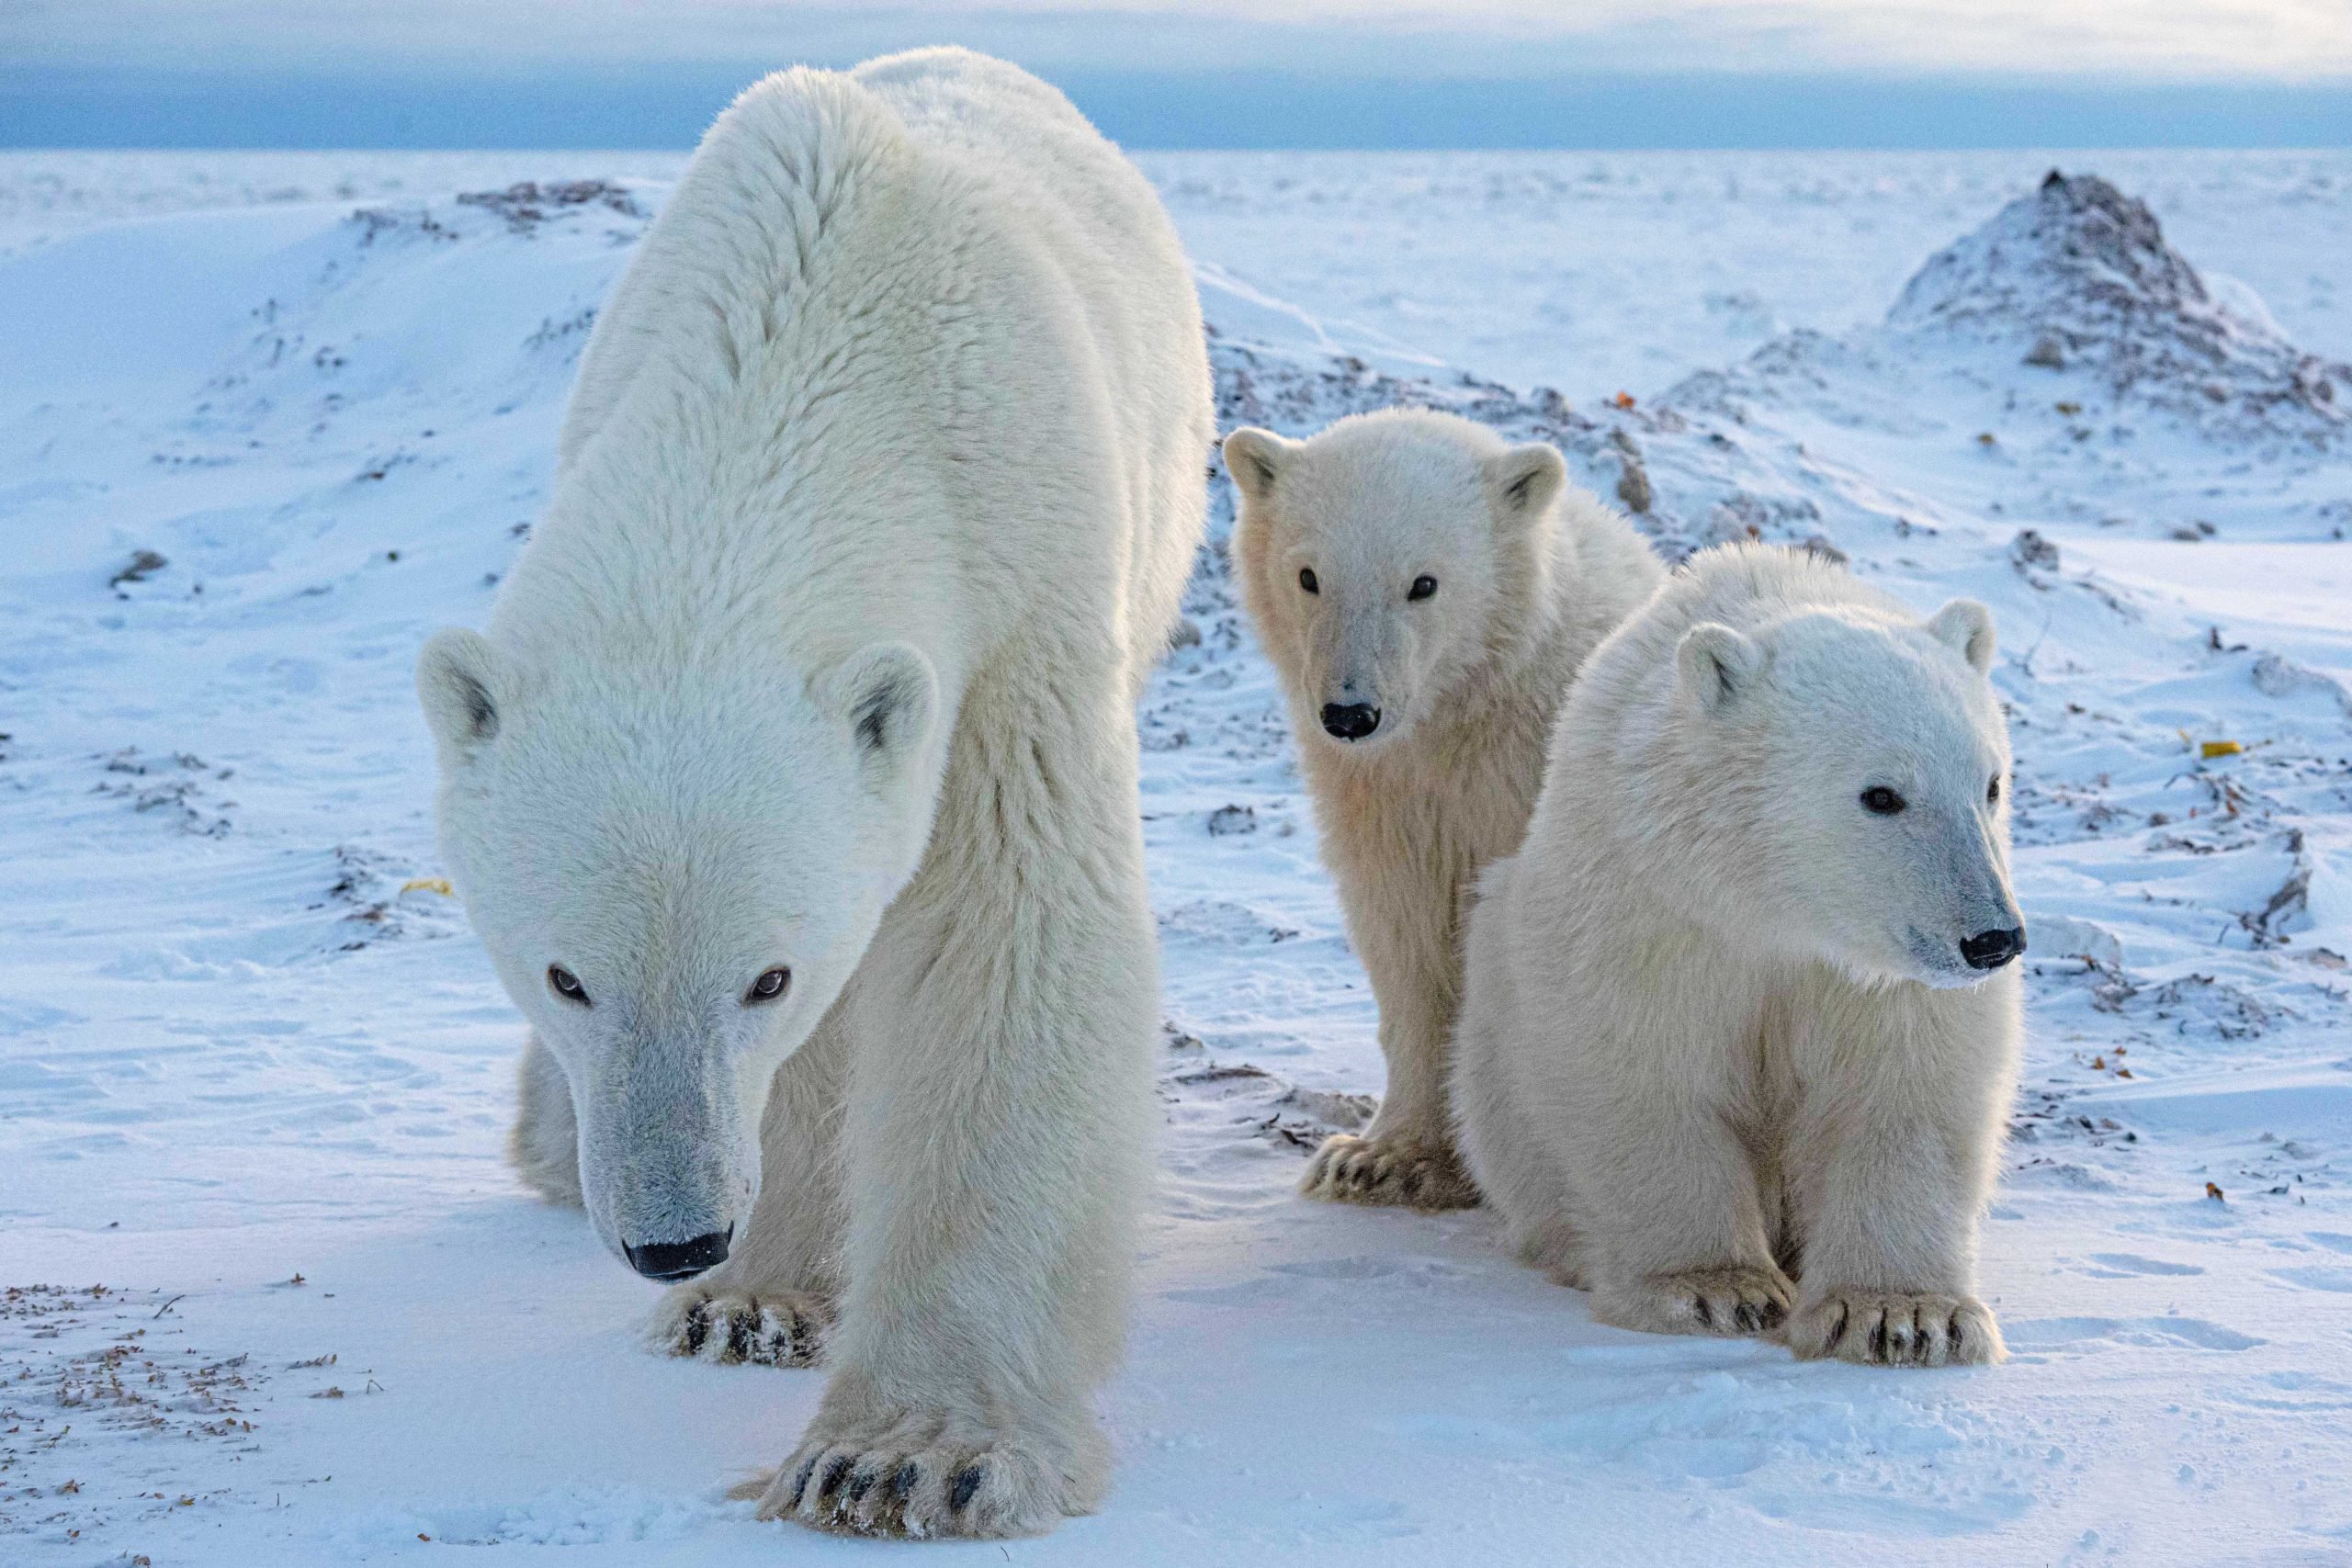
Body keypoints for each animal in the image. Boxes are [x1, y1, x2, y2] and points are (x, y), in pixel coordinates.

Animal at [418, 51, 1213, 1541]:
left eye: (765, 977)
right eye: (565, 976)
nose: (675, 1234)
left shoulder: (1019, 599)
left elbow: (1004, 937)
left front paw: (907, 1453)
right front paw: (744, 1296)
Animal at [1223, 411, 1665, 1213]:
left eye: (1423, 583)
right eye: (1309, 576)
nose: (1350, 712)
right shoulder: (1388, 801)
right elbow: (1410, 943)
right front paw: (1380, 1157)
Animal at [1448, 545, 2022, 1363]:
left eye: (1991, 783)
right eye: (1882, 794)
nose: (1992, 937)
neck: (1775, 906)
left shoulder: (1877, 975)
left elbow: (1902, 1088)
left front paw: (1903, 1314)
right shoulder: (1656, 907)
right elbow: (1643, 1069)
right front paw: (1714, 1290)